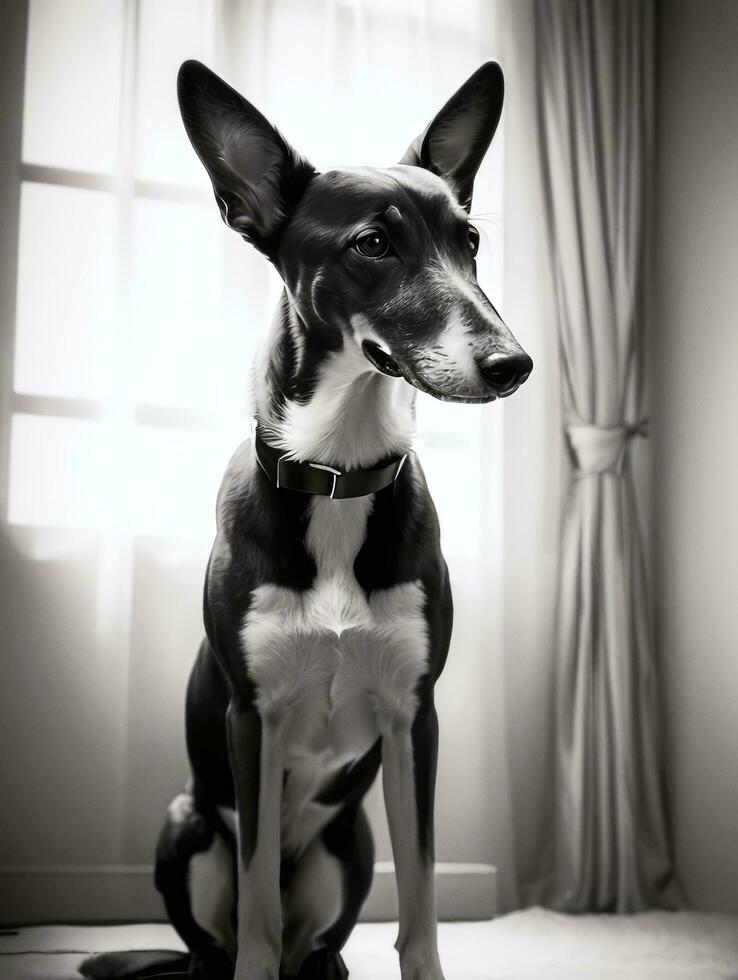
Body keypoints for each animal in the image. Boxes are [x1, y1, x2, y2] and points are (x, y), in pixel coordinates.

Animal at [83, 59, 528, 980]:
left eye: (469, 242)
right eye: (373, 244)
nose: (514, 364)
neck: (338, 475)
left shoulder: (413, 718)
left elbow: (422, 898)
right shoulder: (252, 720)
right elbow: (256, 895)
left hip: (348, 842)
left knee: (324, 944)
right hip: (184, 821)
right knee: (226, 940)